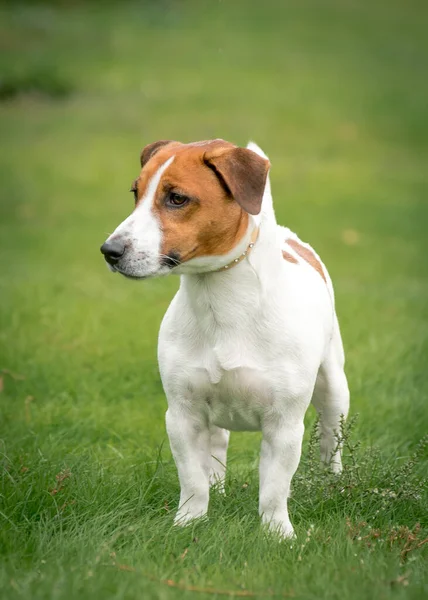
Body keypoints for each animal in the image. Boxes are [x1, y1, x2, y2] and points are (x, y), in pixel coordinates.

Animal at [102, 141, 350, 540]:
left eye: (176, 198)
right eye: (135, 193)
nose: (109, 251)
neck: (221, 304)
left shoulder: (283, 424)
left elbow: (274, 487)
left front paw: (277, 533)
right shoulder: (183, 415)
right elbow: (192, 478)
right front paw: (190, 520)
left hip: (334, 389)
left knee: (331, 440)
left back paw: (332, 484)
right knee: (216, 446)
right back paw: (217, 486)